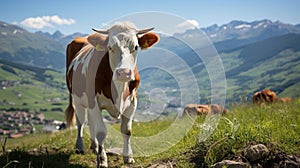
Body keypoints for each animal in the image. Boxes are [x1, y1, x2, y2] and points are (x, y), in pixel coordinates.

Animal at [64, 21, 161, 167]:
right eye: (110, 47)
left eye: (136, 47)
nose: (124, 72)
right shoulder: (94, 101)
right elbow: (101, 132)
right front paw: (103, 160)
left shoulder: (133, 101)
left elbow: (127, 130)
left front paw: (128, 157)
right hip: (77, 98)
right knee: (80, 121)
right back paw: (80, 147)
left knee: (90, 121)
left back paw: (94, 146)